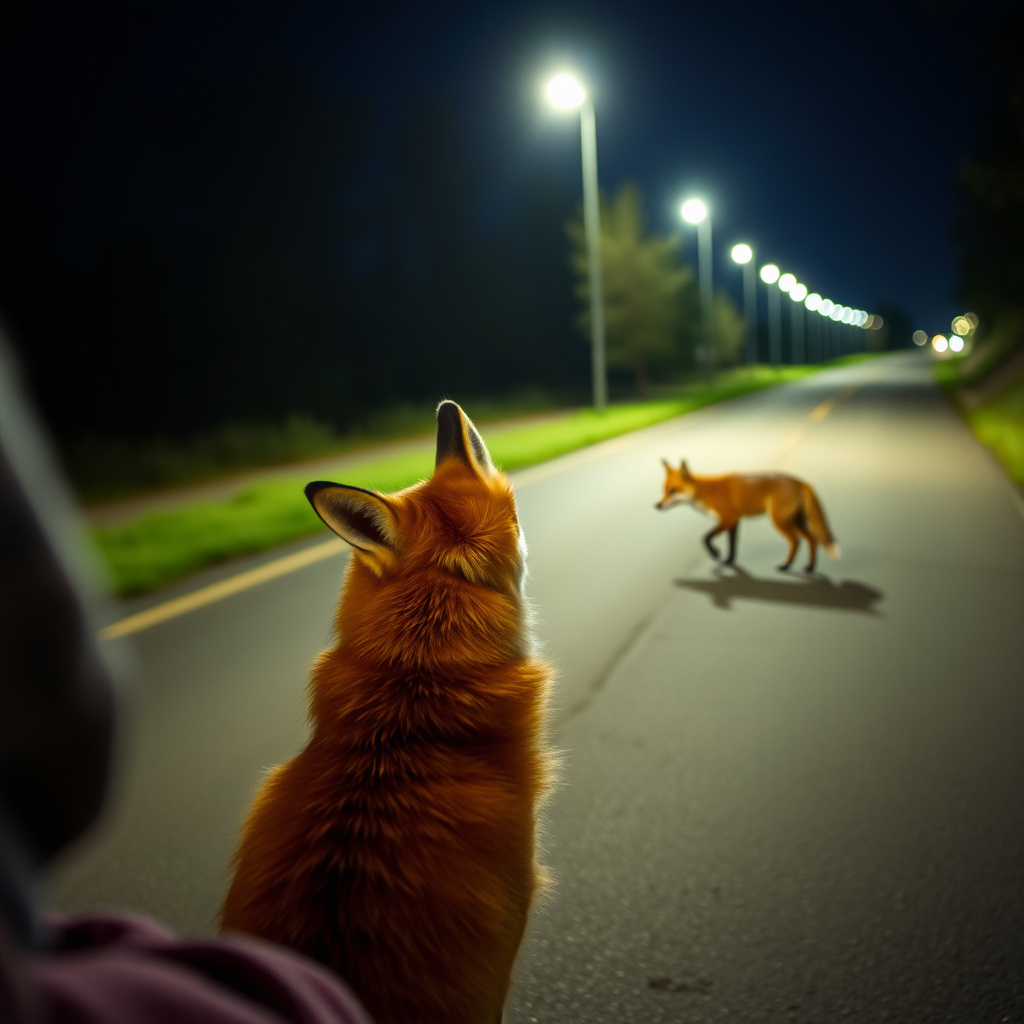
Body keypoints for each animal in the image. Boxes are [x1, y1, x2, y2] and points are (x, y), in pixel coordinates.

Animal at [655, 459, 839, 572]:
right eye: (664, 491)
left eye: (673, 491)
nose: (656, 505)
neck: (704, 492)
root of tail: (800, 481)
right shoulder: (735, 521)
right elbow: (732, 544)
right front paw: (729, 562)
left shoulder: (728, 518)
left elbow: (705, 538)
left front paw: (715, 554)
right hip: (795, 521)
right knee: (812, 539)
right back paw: (809, 568)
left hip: (781, 522)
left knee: (796, 541)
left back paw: (786, 566)